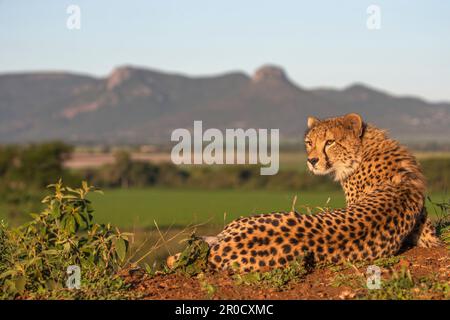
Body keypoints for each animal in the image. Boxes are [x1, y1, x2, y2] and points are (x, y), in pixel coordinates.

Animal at [167, 114, 442, 272]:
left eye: (330, 142)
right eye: (310, 142)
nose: (311, 160)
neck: (365, 148)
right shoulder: (425, 229)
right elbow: (432, 238)